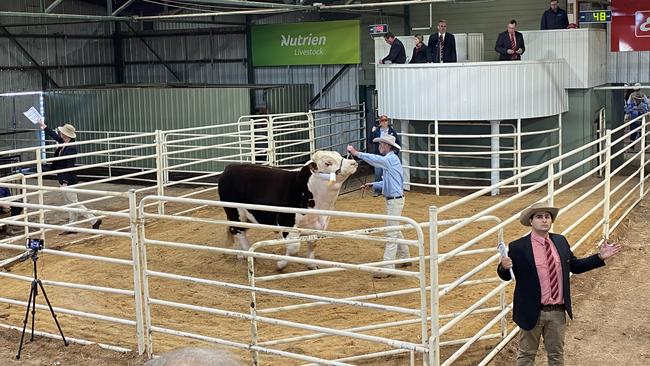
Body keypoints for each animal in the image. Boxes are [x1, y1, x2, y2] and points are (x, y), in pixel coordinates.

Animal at [220, 150, 356, 270]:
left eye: (339, 156)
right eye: (328, 163)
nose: (353, 163)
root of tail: (230, 167)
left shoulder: (317, 226)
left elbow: (312, 244)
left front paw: (312, 265)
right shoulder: (287, 223)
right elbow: (294, 248)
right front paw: (281, 265)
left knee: (237, 231)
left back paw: (241, 254)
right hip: (235, 212)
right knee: (238, 231)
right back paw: (249, 253)